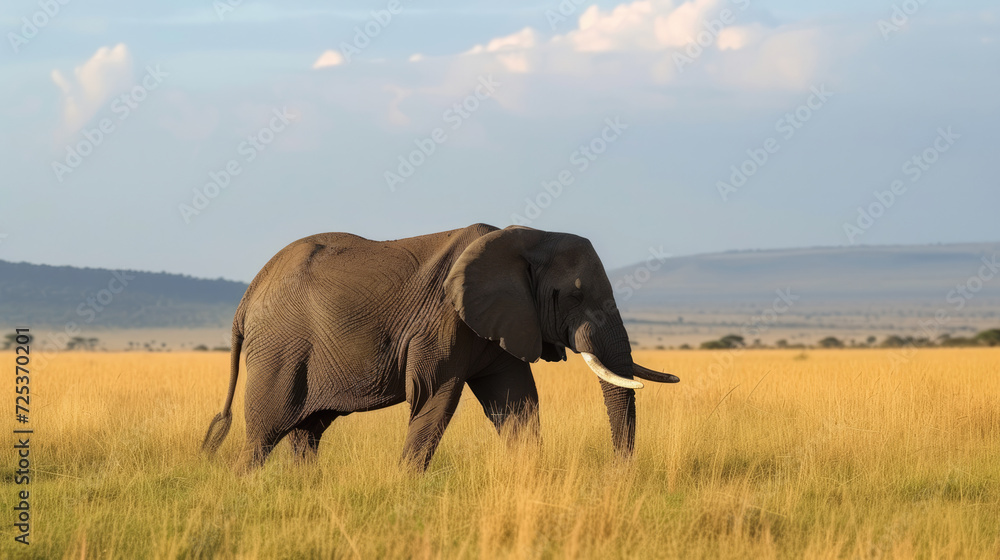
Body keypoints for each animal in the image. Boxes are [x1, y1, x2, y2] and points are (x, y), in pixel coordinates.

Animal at [199, 223, 676, 472]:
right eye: (574, 295)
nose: (618, 474)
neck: (525, 236)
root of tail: (248, 296)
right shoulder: (443, 323)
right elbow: (435, 397)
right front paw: (405, 485)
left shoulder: (500, 320)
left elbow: (517, 401)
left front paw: (528, 476)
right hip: (281, 349)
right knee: (265, 430)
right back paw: (244, 485)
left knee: (307, 431)